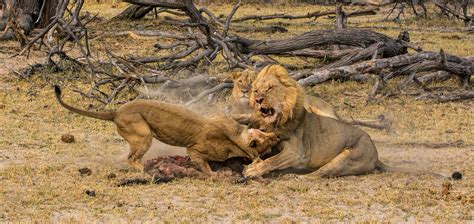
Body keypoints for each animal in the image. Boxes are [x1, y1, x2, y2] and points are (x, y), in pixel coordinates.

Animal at [54, 85, 278, 174]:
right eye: (265, 141)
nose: (276, 137)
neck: (237, 137)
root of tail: (116, 112)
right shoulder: (194, 150)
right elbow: (203, 165)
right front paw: (213, 174)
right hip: (144, 135)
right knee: (131, 159)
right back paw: (145, 169)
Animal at [243, 65, 390, 178]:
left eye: (270, 88)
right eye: (256, 91)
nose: (258, 100)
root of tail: (376, 156)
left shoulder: (296, 152)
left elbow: (272, 160)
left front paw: (253, 170)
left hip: (346, 158)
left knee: (319, 174)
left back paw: (294, 176)